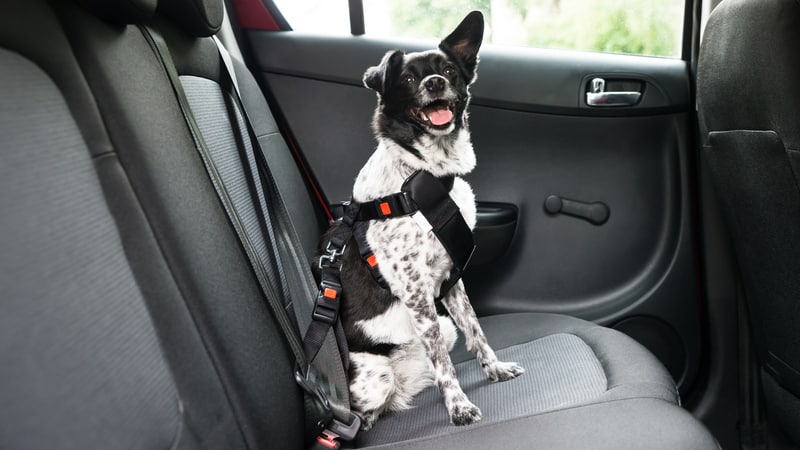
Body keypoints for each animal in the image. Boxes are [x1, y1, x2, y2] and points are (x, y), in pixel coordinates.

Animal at [312, 10, 524, 430]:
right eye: (408, 79)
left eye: (449, 70)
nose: (435, 82)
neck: (422, 173)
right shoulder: (416, 292)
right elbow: (444, 365)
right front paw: (458, 407)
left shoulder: (451, 281)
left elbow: (476, 331)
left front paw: (494, 370)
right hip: (377, 377)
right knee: (366, 412)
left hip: (441, 329)